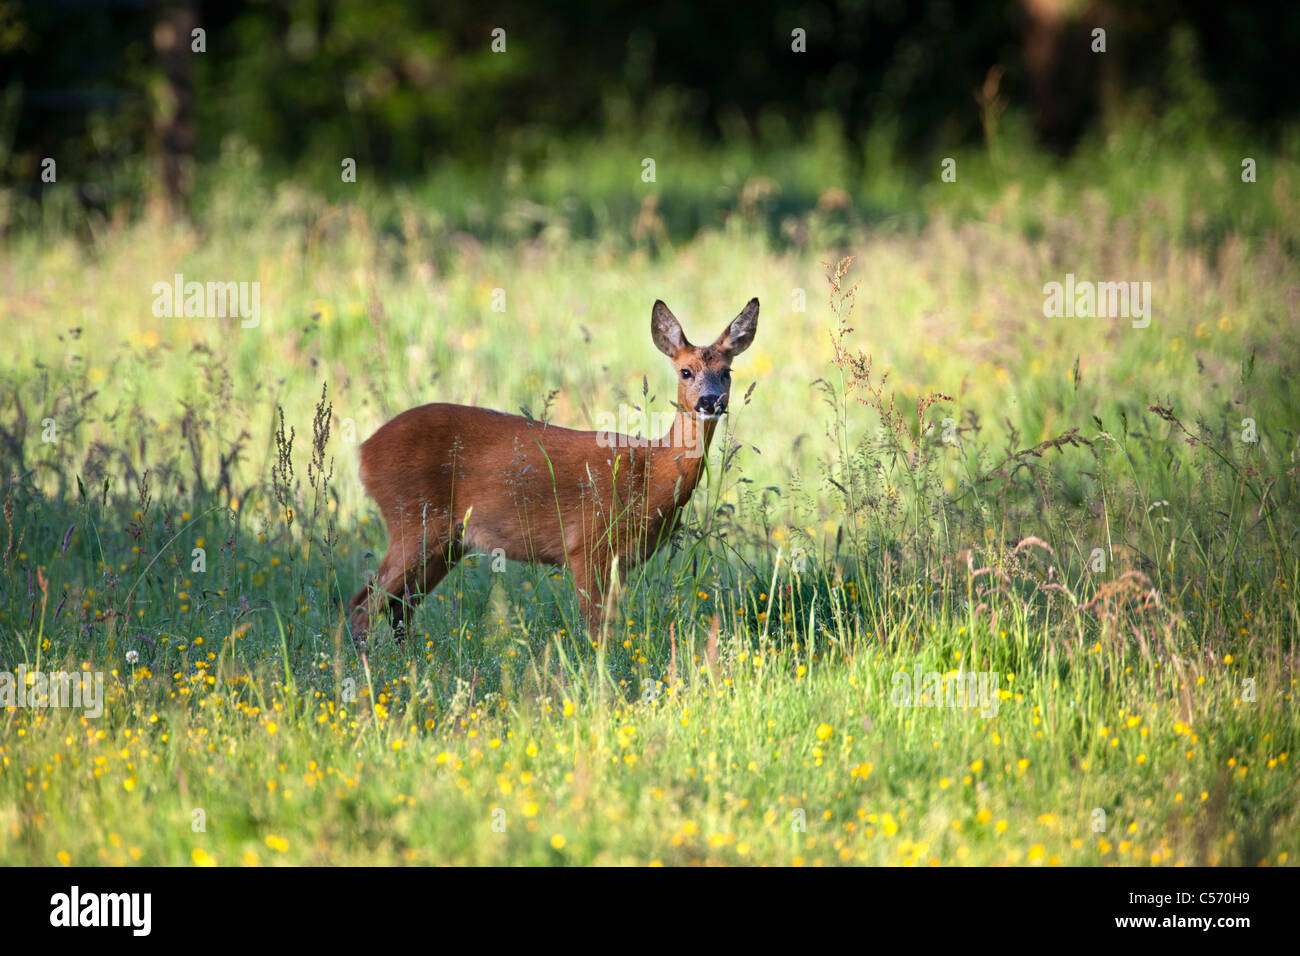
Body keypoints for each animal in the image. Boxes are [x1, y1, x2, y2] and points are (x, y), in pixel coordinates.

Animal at [347, 297, 759, 648]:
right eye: (686, 371)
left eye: (726, 372)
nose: (709, 402)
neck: (651, 473)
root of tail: (364, 451)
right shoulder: (586, 544)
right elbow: (596, 631)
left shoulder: (621, 561)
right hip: (412, 521)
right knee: (364, 605)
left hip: (447, 542)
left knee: (399, 606)